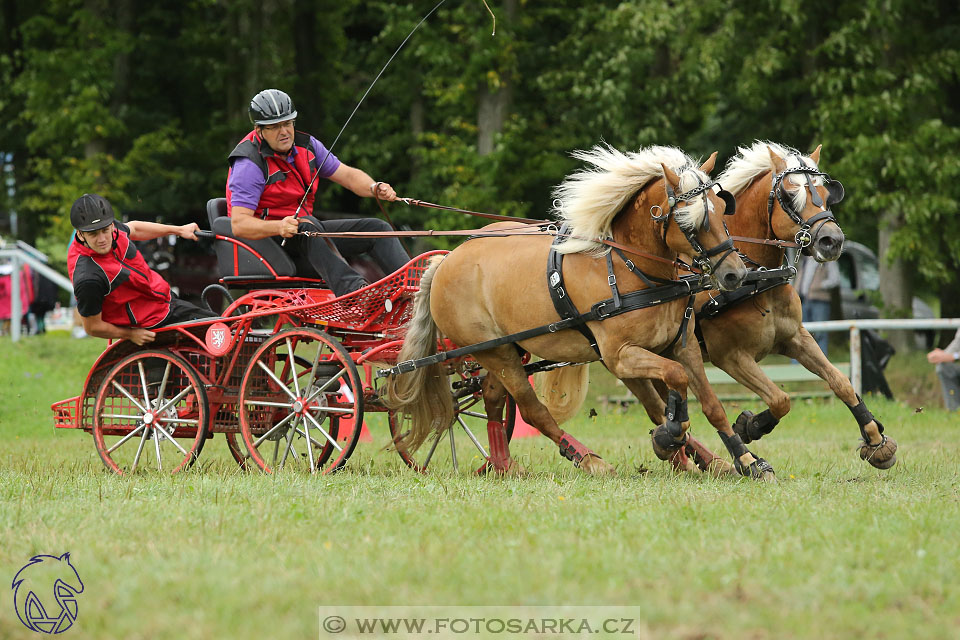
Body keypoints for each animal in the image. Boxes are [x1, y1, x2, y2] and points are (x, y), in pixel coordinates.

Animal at [382, 144, 780, 476]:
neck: (631, 269)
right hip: (495, 353)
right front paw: (669, 437)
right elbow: (673, 383)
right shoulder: (619, 356)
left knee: (494, 401)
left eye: (722, 209)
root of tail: (447, 260)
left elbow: (709, 403)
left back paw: (505, 467)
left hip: (506, 349)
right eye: (689, 221)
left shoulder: (682, 346)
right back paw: (588, 460)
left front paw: (746, 460)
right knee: (532, 410)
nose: (735, 273)